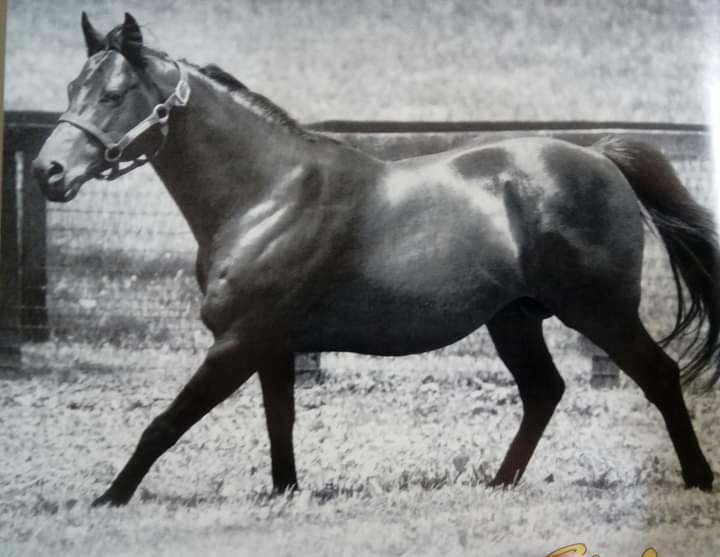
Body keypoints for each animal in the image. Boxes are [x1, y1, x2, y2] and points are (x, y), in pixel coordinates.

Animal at [32, 12, 719, 507]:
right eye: (71, 88)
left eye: (114, 93)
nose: (49, 172)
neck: (268, 196)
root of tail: (600, 157)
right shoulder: (272, 344)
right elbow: (280, 422)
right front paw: (286, 495)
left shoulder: (236, 343)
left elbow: (164, 424)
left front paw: (108, 498)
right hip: (514, 318)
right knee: (544, 391)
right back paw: (498, 486)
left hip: (600, 312)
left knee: (659, 377)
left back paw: (698, 479)